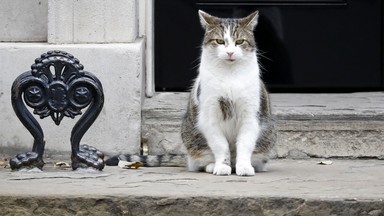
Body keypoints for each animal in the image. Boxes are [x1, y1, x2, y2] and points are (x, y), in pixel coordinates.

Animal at [181, 9, 276, 176]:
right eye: (219, 41)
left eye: (240, 41)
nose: (230, 52)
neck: (230, 75)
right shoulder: (210, 115)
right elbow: (220, 145)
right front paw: (221, 166)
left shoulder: (250, 115)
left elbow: (245, 144)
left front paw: (244, 167)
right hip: (191, 138)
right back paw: (213, 166)